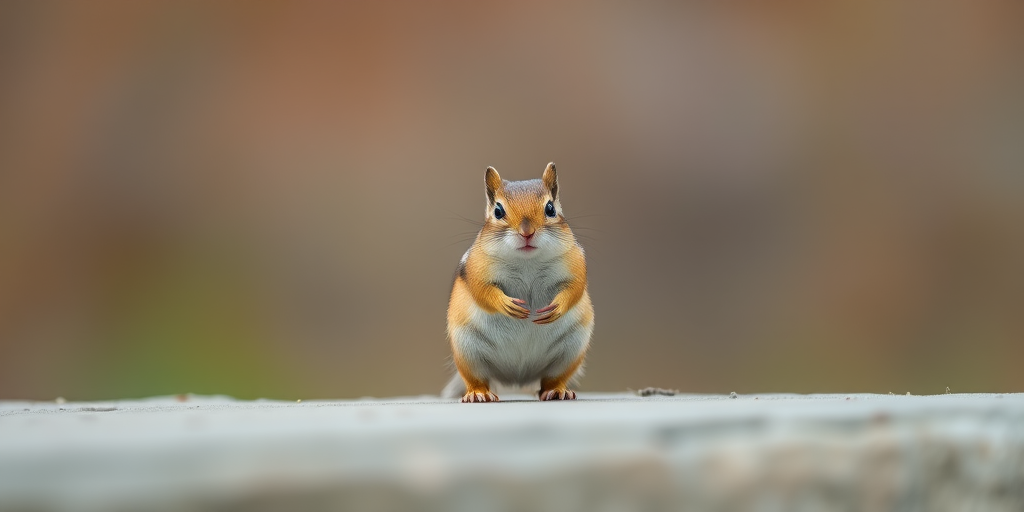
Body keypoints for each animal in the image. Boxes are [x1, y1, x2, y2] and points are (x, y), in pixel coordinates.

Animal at [442, 162, 594, 402]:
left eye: (550, 209)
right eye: (498, 211)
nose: (527, 232)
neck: (527, 262)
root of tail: (516, 376)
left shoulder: (576, 263)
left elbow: (575, 288)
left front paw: (557, 307)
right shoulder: (476, 268)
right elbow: (481, 290)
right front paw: (506, 304)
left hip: (570, 351)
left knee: (551, 379)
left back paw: (557, 391)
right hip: (468, 351)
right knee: (477, 378)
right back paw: (478, 393)